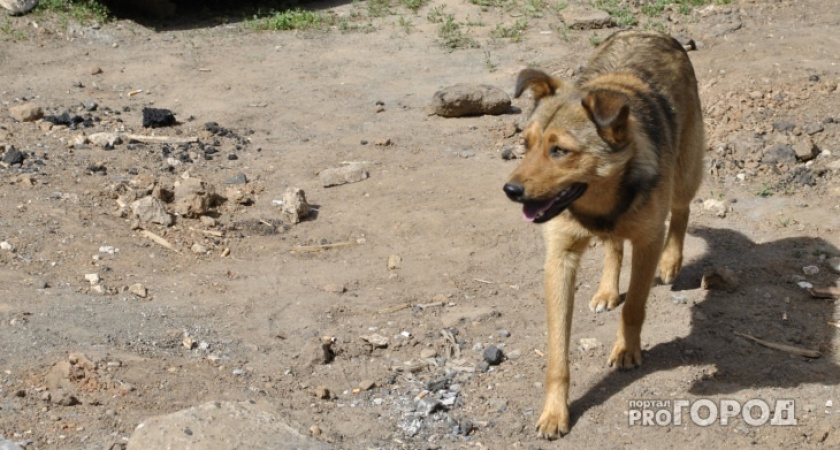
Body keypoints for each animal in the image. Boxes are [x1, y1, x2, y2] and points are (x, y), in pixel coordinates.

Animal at [502, 31, 704, 440]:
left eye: (559, 150)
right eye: (526, 144)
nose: (510, 191)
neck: (599, 204)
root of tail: (653, 32)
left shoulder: (647, 241)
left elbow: (634, 307)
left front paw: (627, 349)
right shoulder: (559, 260)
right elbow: (557, 352)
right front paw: (555, 411)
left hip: (685, 171)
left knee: (681, 210)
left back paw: (672, 262)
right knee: (613, 245)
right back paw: (607, 289)